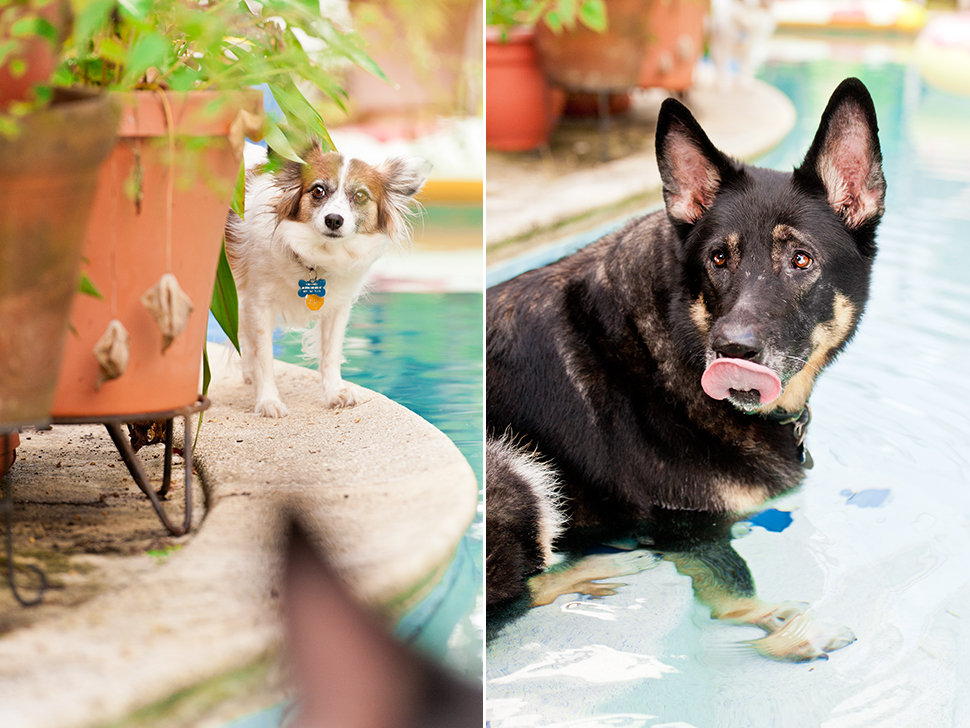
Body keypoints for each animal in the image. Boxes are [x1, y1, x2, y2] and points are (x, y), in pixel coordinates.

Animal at [228, 141, 432, 416]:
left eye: (360, 196)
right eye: (318, 191)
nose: (334, 219)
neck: (316, 257)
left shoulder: (337, 307)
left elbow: (330, 353)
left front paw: (335, 392)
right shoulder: (258, 305)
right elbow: (265, 357)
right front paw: (268, 400)